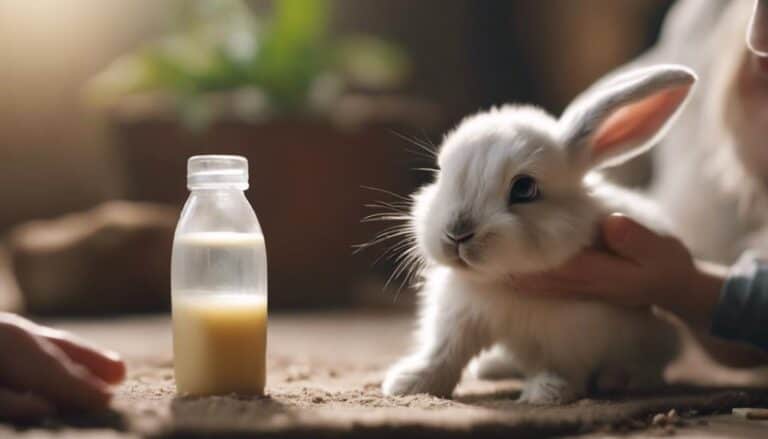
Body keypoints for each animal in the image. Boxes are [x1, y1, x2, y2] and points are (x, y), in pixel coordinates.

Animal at [380, 64, 697, 404]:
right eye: (441, 173)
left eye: (524, 188)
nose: (456, 234)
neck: (500, 278)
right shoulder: (456, 318)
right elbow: (444, 353)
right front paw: (408, 384)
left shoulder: (572, 335)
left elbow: (561, 366)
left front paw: (546, 393)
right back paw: (492, 366)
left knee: (652, 365)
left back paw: (622, 379)